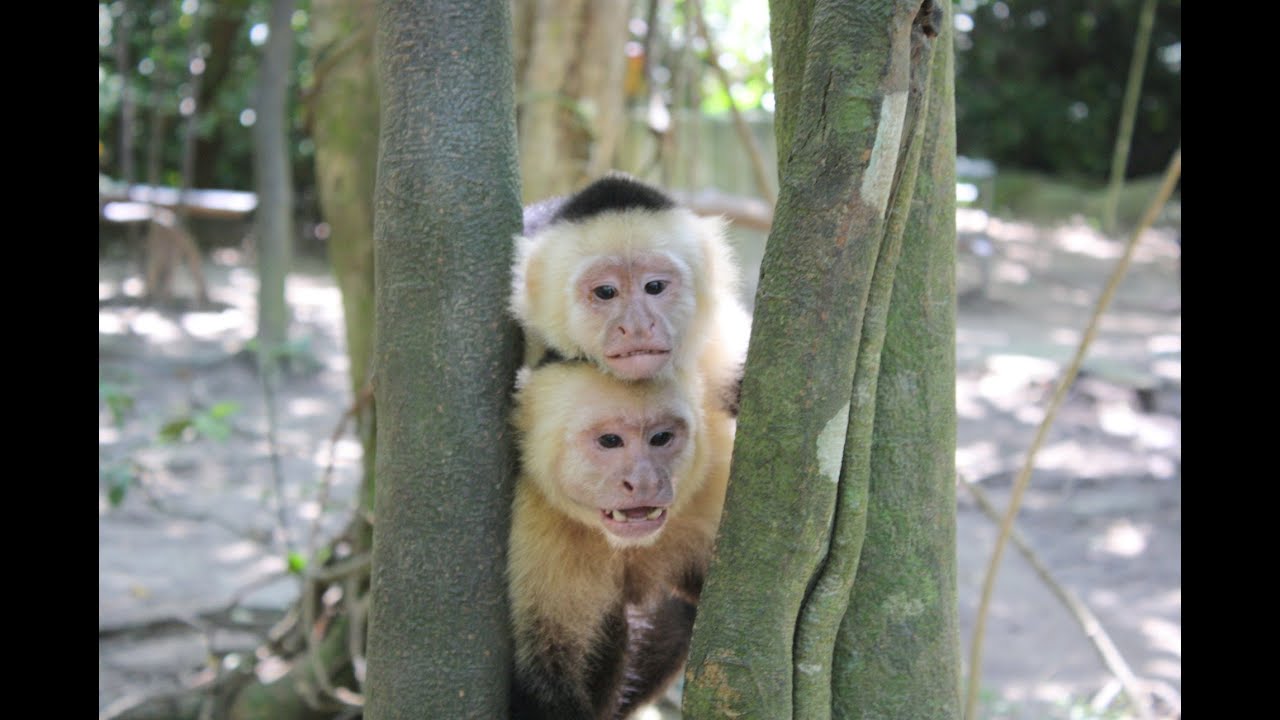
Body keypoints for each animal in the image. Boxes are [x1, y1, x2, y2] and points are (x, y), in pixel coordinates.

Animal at [506, 361, 734, 720]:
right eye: (610, 441)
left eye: (661, 438)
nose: (644, 481)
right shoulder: (535, 523)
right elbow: (544, 681)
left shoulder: (713, 484)